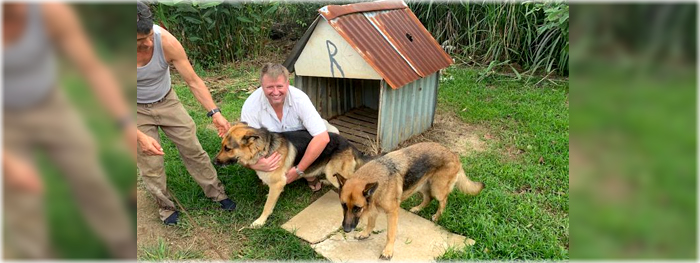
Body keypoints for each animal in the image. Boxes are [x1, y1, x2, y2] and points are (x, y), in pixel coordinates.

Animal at [213, 122, 372, 228]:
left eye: (227, 148)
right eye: (221, 146)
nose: (214, 161)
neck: (264, 148)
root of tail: (350, 144)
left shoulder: (277, 183)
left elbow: (267, 206)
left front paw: (260, 221)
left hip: (330, 170)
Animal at [334, 142, 482, 260]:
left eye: (357, 208)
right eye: (343, 205)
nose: (346, 229)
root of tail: (453, 154)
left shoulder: (392, 213)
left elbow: (390, 234)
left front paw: (388, 251)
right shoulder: (373, 207)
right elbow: (370, 223)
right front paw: (366, 233)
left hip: (437, 189)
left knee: (443, 200)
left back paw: (437, 216)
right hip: (420, 186)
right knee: (428, 198)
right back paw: (418, 208)